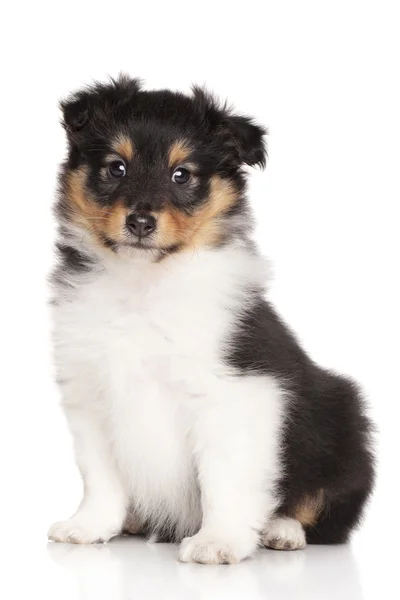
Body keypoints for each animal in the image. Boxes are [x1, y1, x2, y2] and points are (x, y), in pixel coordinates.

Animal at [47, 76, 376, 564]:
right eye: (116, 168)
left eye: (181, 174)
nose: (140, 222)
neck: (144, 284)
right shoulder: (90, 394)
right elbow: (100, 475)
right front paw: (89, 526)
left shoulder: (235, 394)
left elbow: (224, 477)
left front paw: (218, 541)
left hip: (341, 421)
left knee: (325, 512)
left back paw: (281, 530)